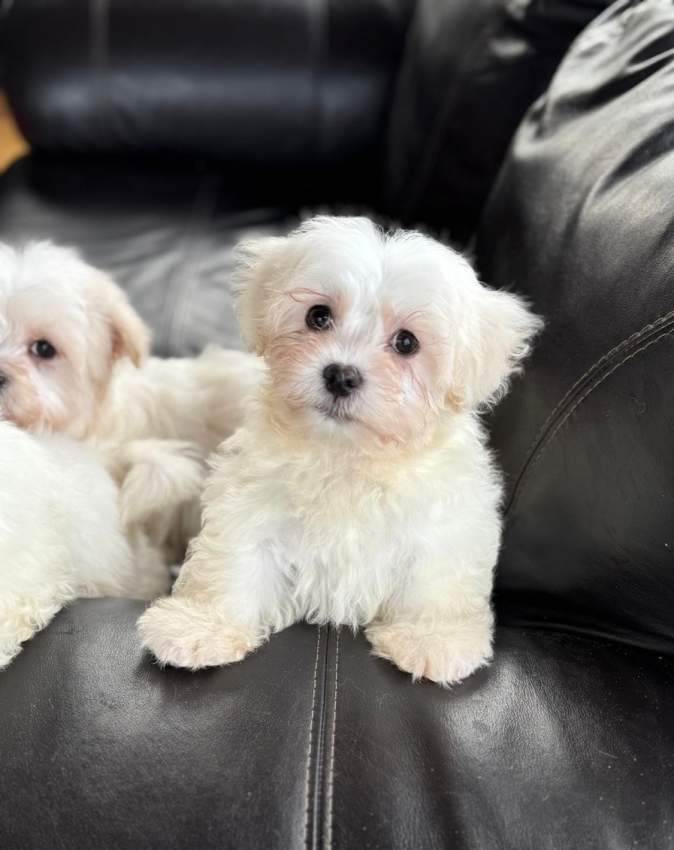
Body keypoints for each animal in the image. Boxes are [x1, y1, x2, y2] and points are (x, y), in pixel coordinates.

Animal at [139, 217, 544, 684]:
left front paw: (431, 638)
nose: (341, 375)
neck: (346, 454)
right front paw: (201, 625)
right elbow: (235, 560)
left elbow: (434, 577)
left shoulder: (444, 523)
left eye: (407, 343)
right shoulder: (251, 504)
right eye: (318, 316)